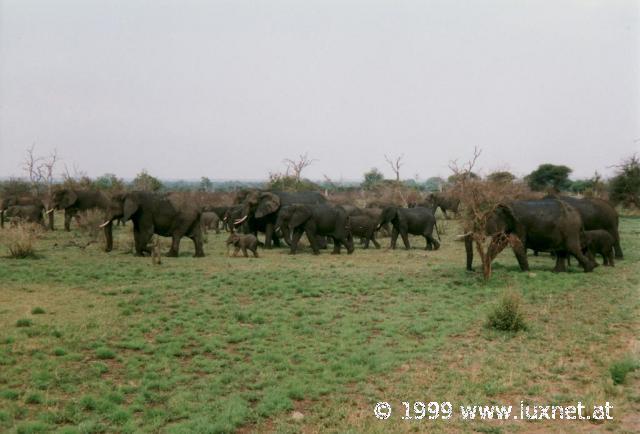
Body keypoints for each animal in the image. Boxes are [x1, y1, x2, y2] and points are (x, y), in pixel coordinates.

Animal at [464, 199, 596, 272]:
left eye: (481, 223)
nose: (471, 269)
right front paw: (483, 268)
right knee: (562, 251)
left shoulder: (519, 224)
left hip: (570, 230)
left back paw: (589, 269)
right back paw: (557, 272)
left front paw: (526, 272)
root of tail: (579, 217)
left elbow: (518, 245)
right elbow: (497, 245)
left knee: (572, 249)